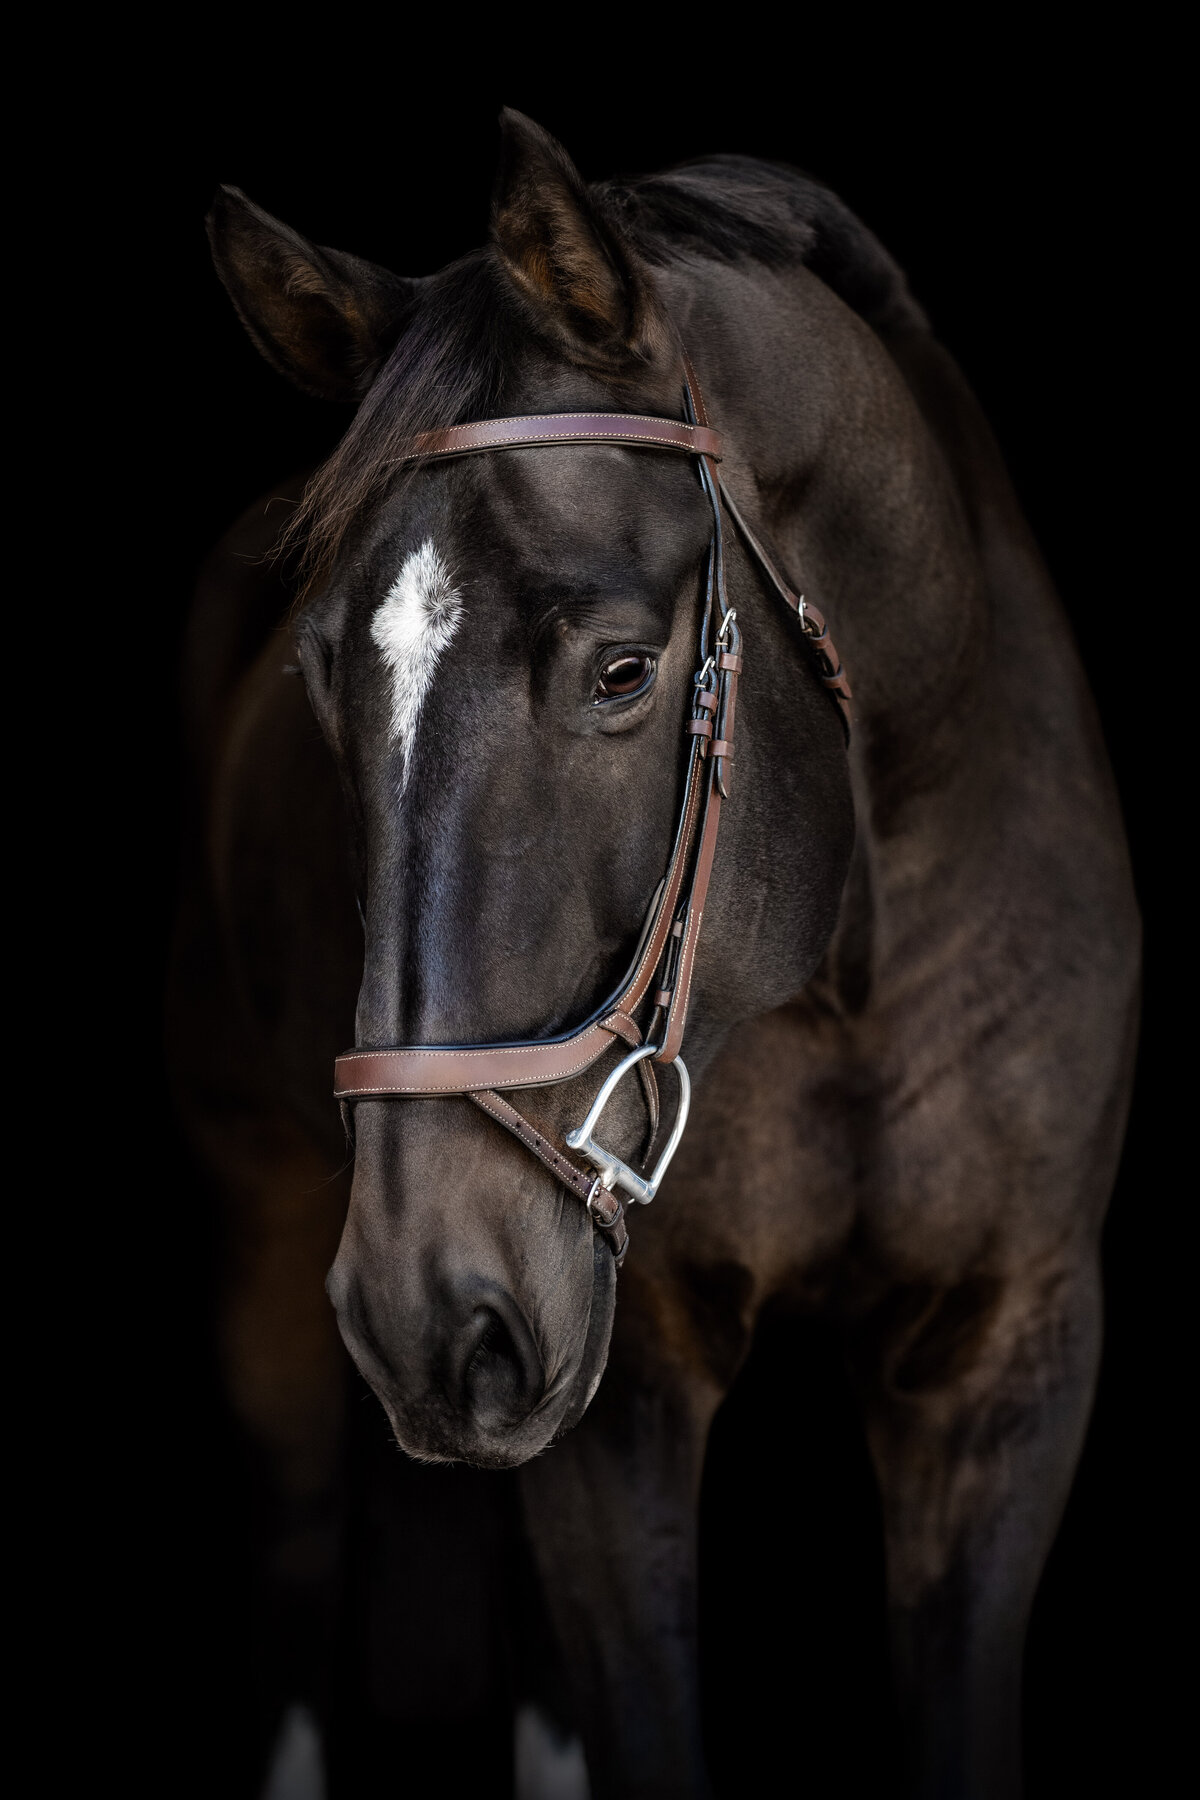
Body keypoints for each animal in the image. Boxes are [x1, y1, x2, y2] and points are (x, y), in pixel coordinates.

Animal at [169, 112, 1137, 1800]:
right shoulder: (629, 1395)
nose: (425, 1307)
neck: (849, 970)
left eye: (624, 671)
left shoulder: (1005, 1358)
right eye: (319, 676)